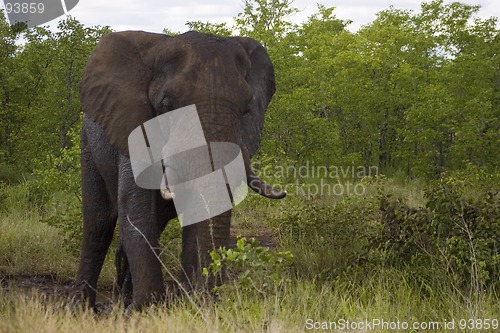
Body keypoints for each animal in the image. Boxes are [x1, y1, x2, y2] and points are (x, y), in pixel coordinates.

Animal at [74, 31, 286, 308]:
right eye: (166, 106)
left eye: (247, 110)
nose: (211, 298)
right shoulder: (133, 130)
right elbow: (136, 209)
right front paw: (148, 308)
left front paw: (187, 302)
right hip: (89, 143)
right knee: (99, 225)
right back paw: (82, 309)